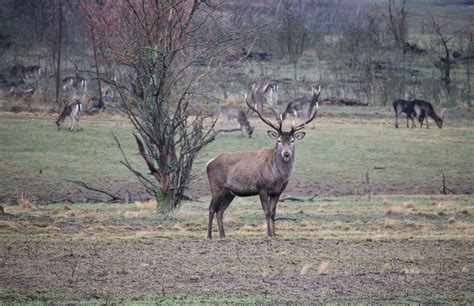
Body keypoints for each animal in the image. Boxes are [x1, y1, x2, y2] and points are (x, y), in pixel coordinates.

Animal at [206, 84, 320, 239]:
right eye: (279, 140)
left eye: (292, 140)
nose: (286, 153)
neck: (277, 177)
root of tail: (209, 163)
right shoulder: (262, 187)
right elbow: (266, 211)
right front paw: (269, 234)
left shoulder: (278, 192)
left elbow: (273, 213)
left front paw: (275, 233)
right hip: (216, 186)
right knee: (211, 209)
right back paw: (209, 236)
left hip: (229, 192)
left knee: (220, 210)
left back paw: (223, 236)